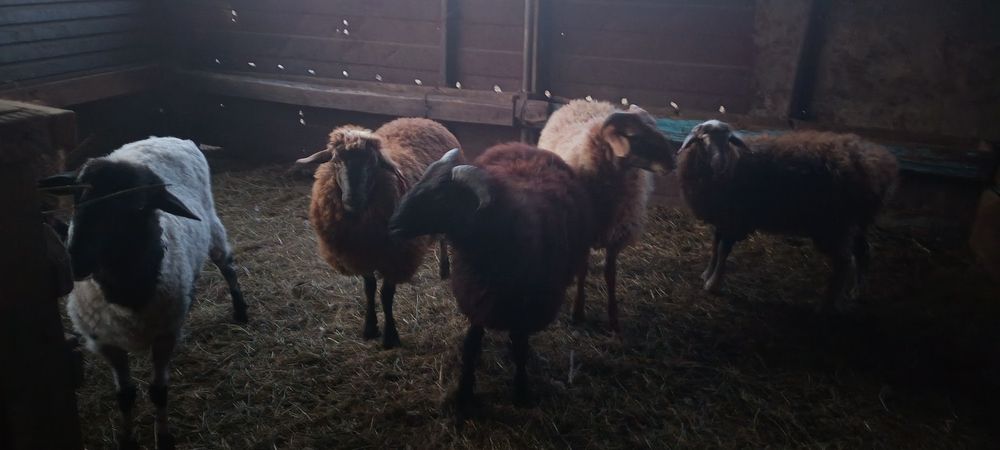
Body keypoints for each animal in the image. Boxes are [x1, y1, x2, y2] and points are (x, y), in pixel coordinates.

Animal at [38, 137, 248, 450]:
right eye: (78, 198)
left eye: (136, 208)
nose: (76, 260)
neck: (126, 292)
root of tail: (169, 138)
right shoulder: (106, 342)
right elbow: (125, 396)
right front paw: (127, 440)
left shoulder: (164, 337)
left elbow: (158, 391)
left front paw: (164, 438)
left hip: (212, 226)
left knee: (228, 267)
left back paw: (240, 309)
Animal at [296, 118, 458, 349]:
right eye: (336, 161)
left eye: (373, 163)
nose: (353, 200)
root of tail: (423, 119)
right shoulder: (362, 254)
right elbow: (369, 289)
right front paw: (370, 327)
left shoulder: (395, 256)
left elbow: (386, 295)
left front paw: (391, 335)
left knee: (444, 238)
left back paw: (445, 268)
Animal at [388, 144, 593, 421]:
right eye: (421, 181)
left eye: (441, 197)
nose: (392, 224)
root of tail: (524, 146)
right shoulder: (478, 298)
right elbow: (471, 345)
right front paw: (464, 393)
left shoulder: (523, 308)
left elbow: (520, 348)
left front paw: (520, 392)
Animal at [537, 99, 676, 332]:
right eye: (634, 136)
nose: (672, 162)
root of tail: (585, 101)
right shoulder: (583, 234)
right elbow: (582, 270)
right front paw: (578, 312)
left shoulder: (615, 235)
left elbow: (610, 275)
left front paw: (613, 319)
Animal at [676, 120, 899, 310]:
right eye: (702, 139)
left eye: (728, 140)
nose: (719, 164)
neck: (734, 163)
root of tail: (879, 163)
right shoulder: (722, 218)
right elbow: (715, 246)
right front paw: (707, 274)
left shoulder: (735, 220)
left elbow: (723, 250)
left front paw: (713, 284)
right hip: (857, 221)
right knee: (863, 252)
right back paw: (857, 292)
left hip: (833, 226)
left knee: (844, 261)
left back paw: (828, 304)